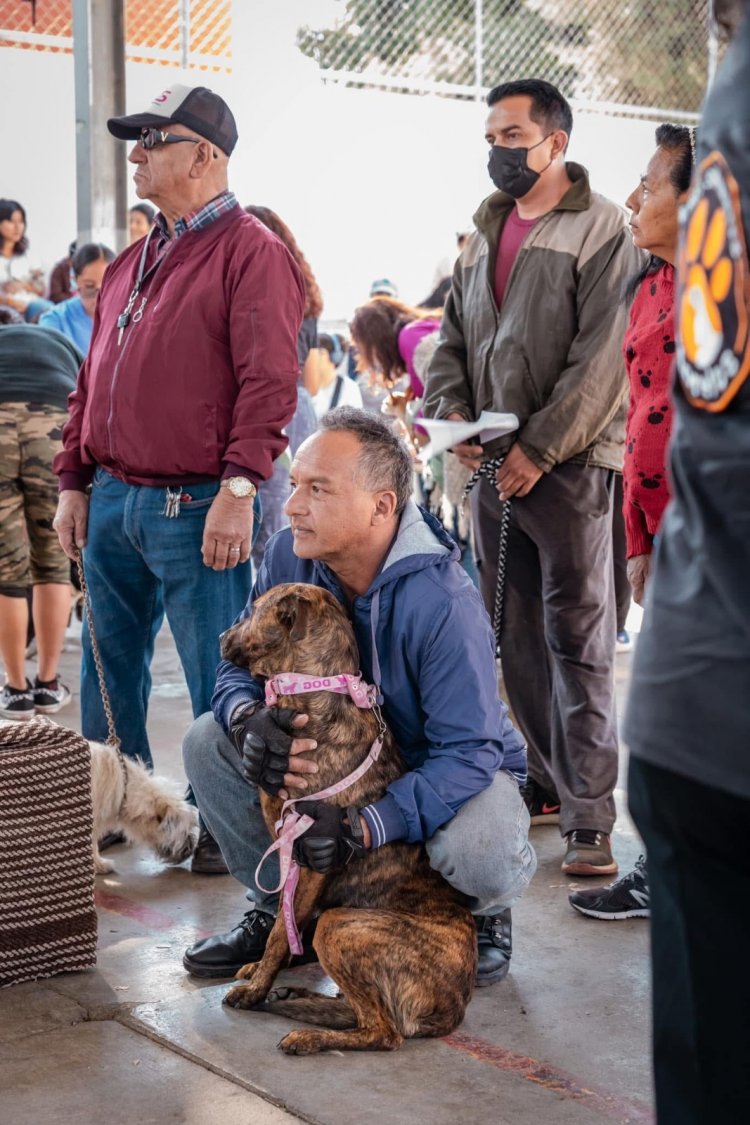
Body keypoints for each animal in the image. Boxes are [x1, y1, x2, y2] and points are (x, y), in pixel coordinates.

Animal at [221, 580, 474, 1053]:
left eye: (253, 609)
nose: (221, 637)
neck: (315, 693)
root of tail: (456, 1003)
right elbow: (281, 918)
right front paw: (261, 974)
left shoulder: (309, 851)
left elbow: (280, 933)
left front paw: (256, 988)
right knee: (360, 1012)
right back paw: (295, 999)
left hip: (339, 925)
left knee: (384, 1032)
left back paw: (306, 1034)